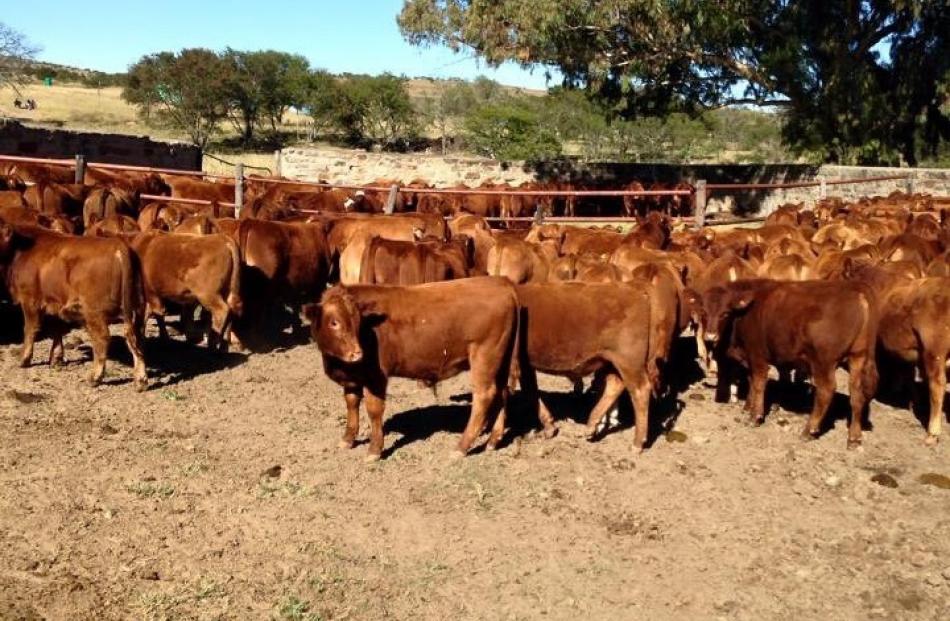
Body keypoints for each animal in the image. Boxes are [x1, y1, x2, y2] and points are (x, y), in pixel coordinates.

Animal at [304, 276, 524, 460]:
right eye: (334, 322)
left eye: (358, 322)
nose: (357, 353)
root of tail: (501, 282)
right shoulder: (352, 378)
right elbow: (351, 404)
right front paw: (347, 439)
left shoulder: (375, 377)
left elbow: (374, 410)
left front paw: (374, 449)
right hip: (500, 361)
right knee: (502, 393)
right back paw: (493, 441)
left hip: (484, 356)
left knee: (483, 397)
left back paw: (461, 447)